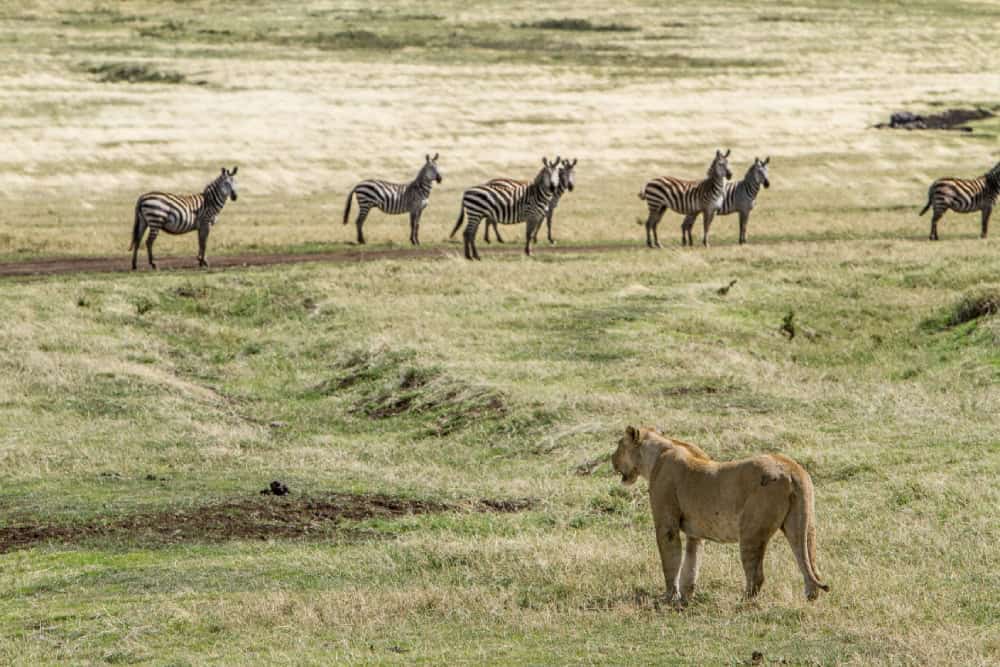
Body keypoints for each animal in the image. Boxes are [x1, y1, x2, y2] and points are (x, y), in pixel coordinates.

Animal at [612, 426, 829, 604]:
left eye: (619, 445)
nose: (611, 460)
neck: (659, 452)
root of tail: (792, 468)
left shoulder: (667, 525)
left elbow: (671, 561)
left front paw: (669, 597)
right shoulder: (695, 533)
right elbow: (691, 565)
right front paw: (685, 597)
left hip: (751, 531)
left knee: (757, 575)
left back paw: (742, 602)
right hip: (803, 525)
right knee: (811, 564)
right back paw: (811, 598)